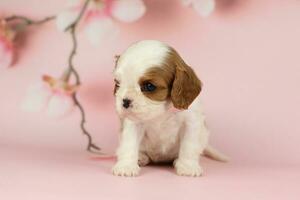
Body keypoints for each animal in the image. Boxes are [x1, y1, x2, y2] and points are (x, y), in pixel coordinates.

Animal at [112, 39, 227, 177]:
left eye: (149, 86)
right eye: (118, 84)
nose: (125, 101)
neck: (163, 111)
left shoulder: (191, 123)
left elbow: (189, 146)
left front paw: (188, 166)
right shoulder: (133, 124)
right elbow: (129, 144)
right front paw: (127, 166)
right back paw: (141, 157)